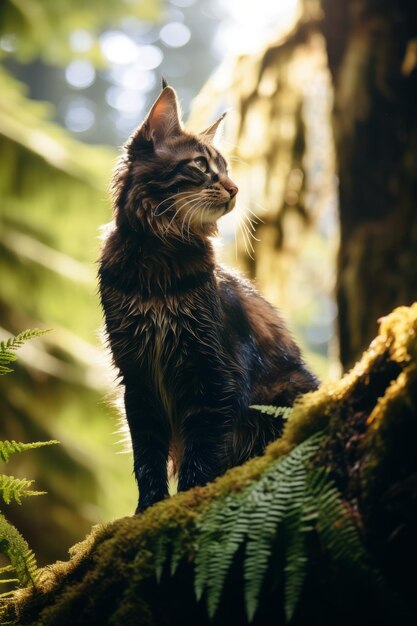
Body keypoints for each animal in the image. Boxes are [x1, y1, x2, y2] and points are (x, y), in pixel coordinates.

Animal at [98, 83, 318, 512]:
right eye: (200, 165)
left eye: (227, 169)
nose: (234, 189)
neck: (156, 266)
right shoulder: (138, 374)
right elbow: (147, 456)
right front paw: (148, 509)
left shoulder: (212, 372)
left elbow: (201, 452)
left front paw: (186, 501)